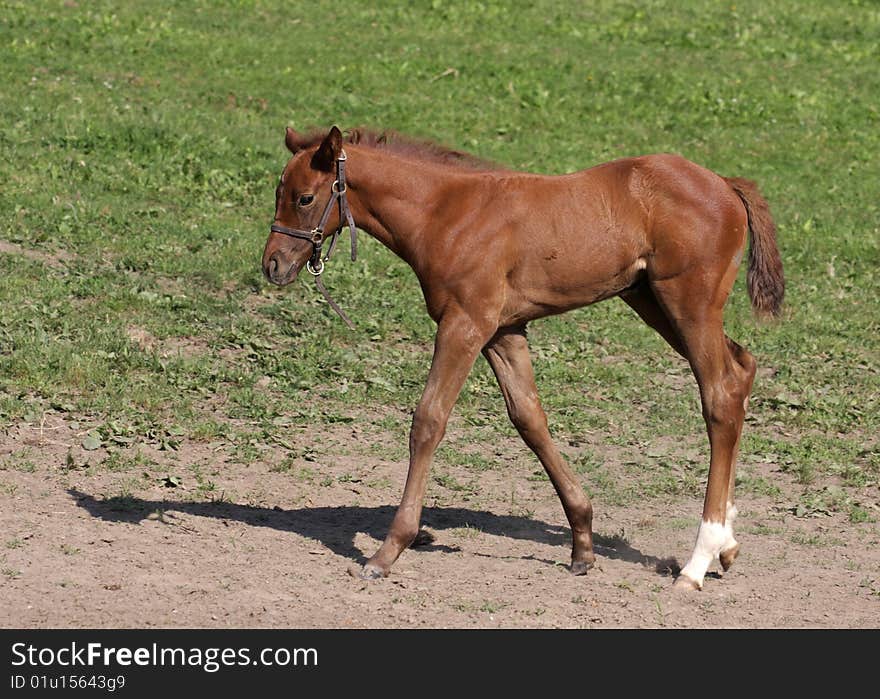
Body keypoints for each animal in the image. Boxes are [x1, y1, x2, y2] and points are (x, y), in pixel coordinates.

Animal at [262, 127, 784, 592]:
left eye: (304, 198)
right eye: (278, 192)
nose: (272, 264)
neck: (446, 212)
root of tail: (725, 184)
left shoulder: (465, 323)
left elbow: (429, 419)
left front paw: (387, 553)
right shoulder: (504, 332)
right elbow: (530, 420)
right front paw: (583, 545)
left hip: (688, 302)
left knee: (719, 395)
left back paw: (697, 561)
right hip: (651, 301)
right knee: (742, 369)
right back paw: (726, 545)